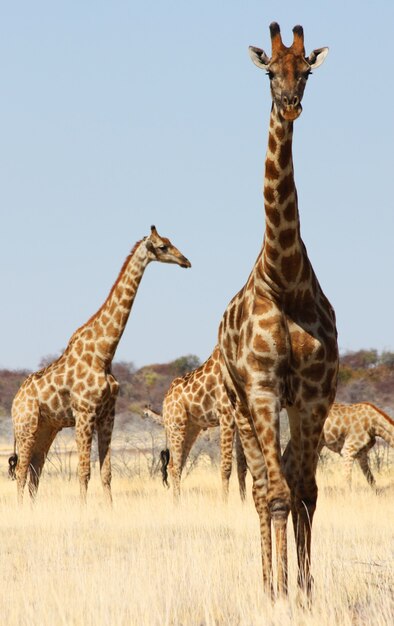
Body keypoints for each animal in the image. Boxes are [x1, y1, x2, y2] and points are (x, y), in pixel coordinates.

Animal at [9, 227, 191, 504]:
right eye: (162, 246)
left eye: (171, 242)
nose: (186, 261)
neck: (104, 354)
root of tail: (15, 401)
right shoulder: (84, 413)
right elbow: (84, 470)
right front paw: (84, 510)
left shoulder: (108, 414)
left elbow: (106, 472)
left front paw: (109, 508)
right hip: (25, 426)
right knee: (20, 471)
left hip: (46, 429)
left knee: (34, 471)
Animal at [142, 344, 246, 500]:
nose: (143, 415)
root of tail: (165, 400)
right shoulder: (226, 415)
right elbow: (226, 466)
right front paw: (225, 503)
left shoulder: (242, 416)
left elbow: (242, 466)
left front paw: (244, 502)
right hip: (176, 427)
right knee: (175, 466)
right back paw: (177, 503)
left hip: (190, 429)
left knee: (176, 465)